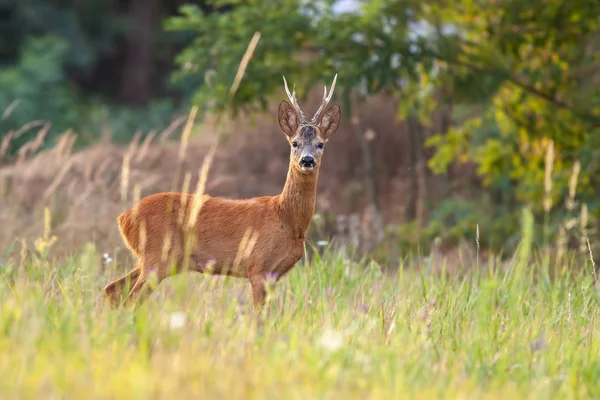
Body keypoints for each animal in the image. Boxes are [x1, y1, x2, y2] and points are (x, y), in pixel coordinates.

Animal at [104, 76, 342, 312]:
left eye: (320, 144)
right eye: (295, 143)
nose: (307, 160)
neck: (287, 218)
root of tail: (124, 218)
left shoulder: (274, 274)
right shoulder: (257, 267)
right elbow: (258, 316)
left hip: (157, 261)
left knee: (112, 289)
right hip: (157, 257)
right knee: (131, 299)